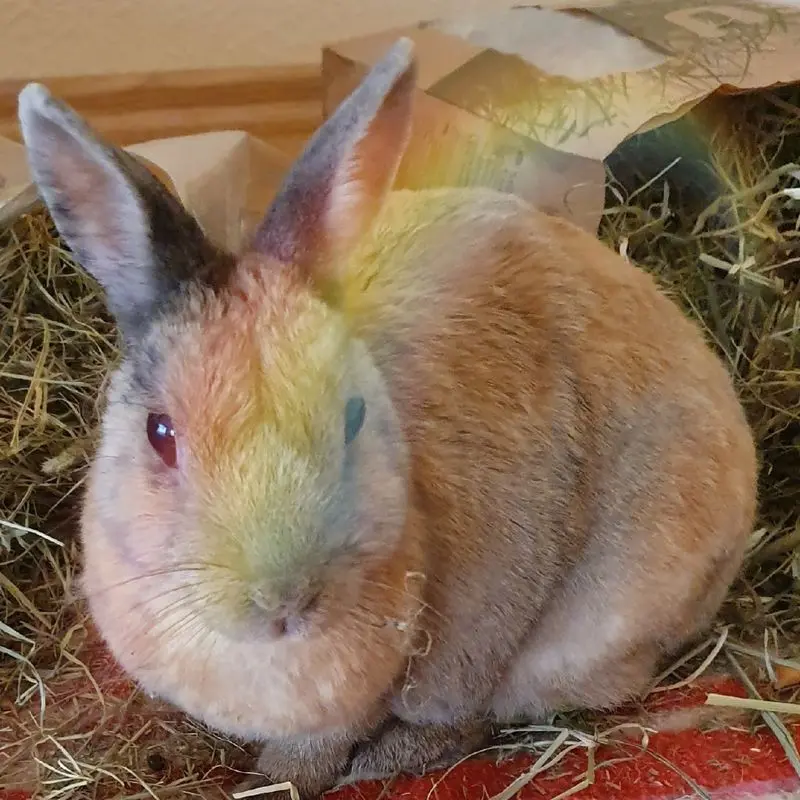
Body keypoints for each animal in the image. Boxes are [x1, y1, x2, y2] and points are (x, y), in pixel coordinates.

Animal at [18, 36, 758, 800]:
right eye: (159, 433)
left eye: (352, 417)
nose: (284, 598)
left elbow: (331, 744)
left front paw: (282, 779)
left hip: (578, 635)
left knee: (488, 714)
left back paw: (384, 761)